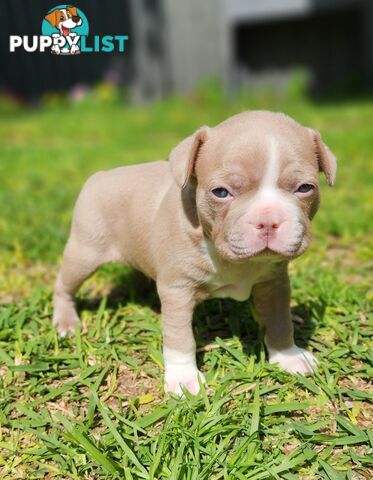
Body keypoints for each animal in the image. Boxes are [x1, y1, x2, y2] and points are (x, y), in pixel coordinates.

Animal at [51, 111, 334, 394]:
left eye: (305, 188)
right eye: (220, 192)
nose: (268, 221)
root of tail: (100, 175)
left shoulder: (274, 283)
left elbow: (279, 320)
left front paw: (288, 356)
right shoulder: (177, 291)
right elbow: (180, 338)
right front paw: (183, 378)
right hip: (85, 252)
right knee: (64, 285)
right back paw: (66, 322)